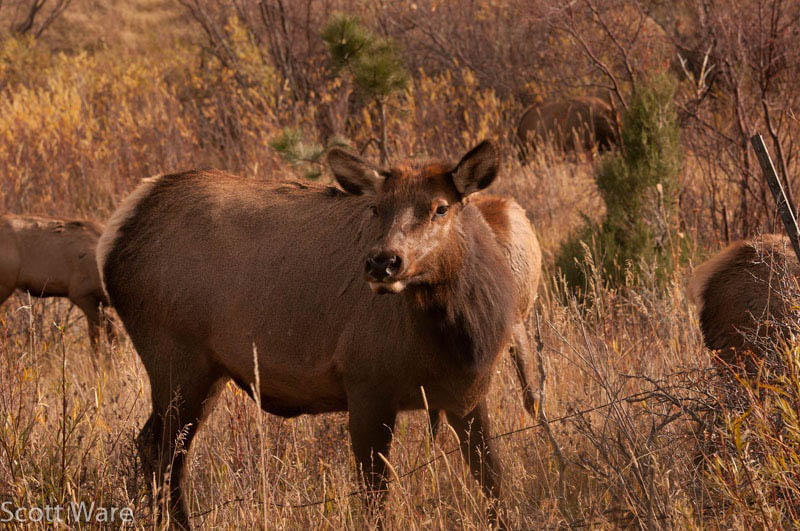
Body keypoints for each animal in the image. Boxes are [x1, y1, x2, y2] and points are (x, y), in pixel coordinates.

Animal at [98, 141, 534, 528]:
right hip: (177, 357)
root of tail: (117, 230)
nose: (382, 262)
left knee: (158, 447)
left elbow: (493, 481)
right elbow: (376, 498)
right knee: (162, 450)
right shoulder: (366, 383)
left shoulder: (469, 393)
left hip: (207, 371)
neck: (462, 340)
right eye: (377, 207)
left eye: (441, 208)